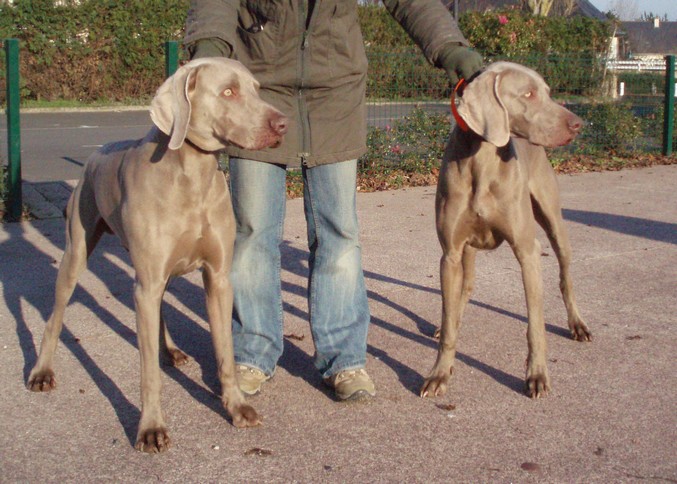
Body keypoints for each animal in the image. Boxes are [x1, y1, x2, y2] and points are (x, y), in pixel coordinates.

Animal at [25, 57, 288, 454]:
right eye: (228, 91)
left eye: (257, 89)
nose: (282, 124)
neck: (193, 176)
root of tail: (96, 152)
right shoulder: (147, 281)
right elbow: (148, 372)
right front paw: (150, 428)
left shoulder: (218, 278)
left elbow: (225, 352)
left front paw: (237, 406)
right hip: (76, 250)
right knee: (55, 315)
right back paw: (42, 371)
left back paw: (171, 351)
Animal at [422, 60, 592, 400]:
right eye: (528, 94)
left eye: (548, 91)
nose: (578, 125)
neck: (482, 161)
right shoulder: (450, 253)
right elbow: (449, 320)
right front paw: (439, 373)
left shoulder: (527, 251)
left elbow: (535, 324)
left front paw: (537, 375)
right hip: (466, 251)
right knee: (465, 289)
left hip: (554, 223)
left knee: (565, 276)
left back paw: (577, 325)